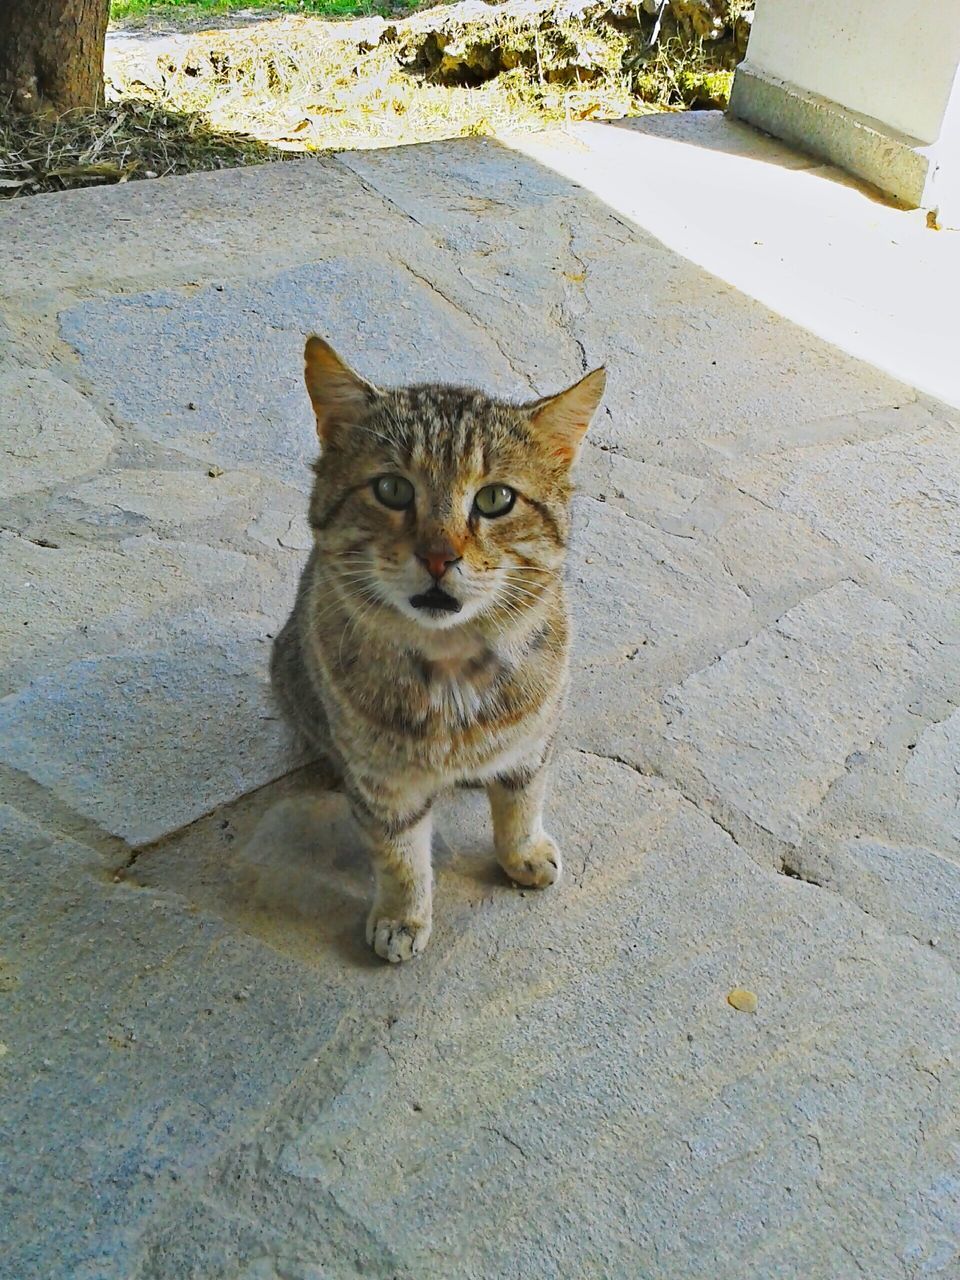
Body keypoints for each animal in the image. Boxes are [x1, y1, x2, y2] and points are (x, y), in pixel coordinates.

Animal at [271, 337, 604, 962]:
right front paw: (403, 917)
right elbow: (400, 858)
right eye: (392, 489)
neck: (451, 673)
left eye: (496, 498)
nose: (438, 556)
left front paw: (523, 853)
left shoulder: (534, 741)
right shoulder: (385, 785)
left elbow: (522, 804)